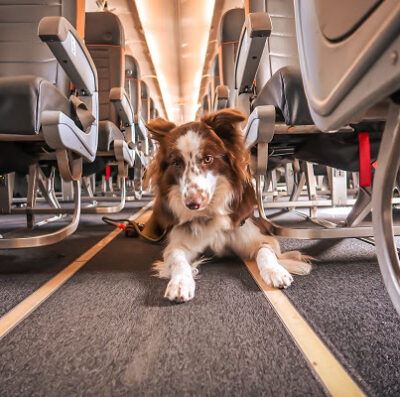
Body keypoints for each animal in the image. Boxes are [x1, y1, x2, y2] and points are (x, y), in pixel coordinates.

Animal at [145, 106, 312, 302]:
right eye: (176, 163)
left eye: (208, 159)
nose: (192, 204)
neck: (210, 215)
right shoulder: (179, 244)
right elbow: (178, 259)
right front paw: (180, 283)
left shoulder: (257, 235)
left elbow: (266, 252)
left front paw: (275, 271)